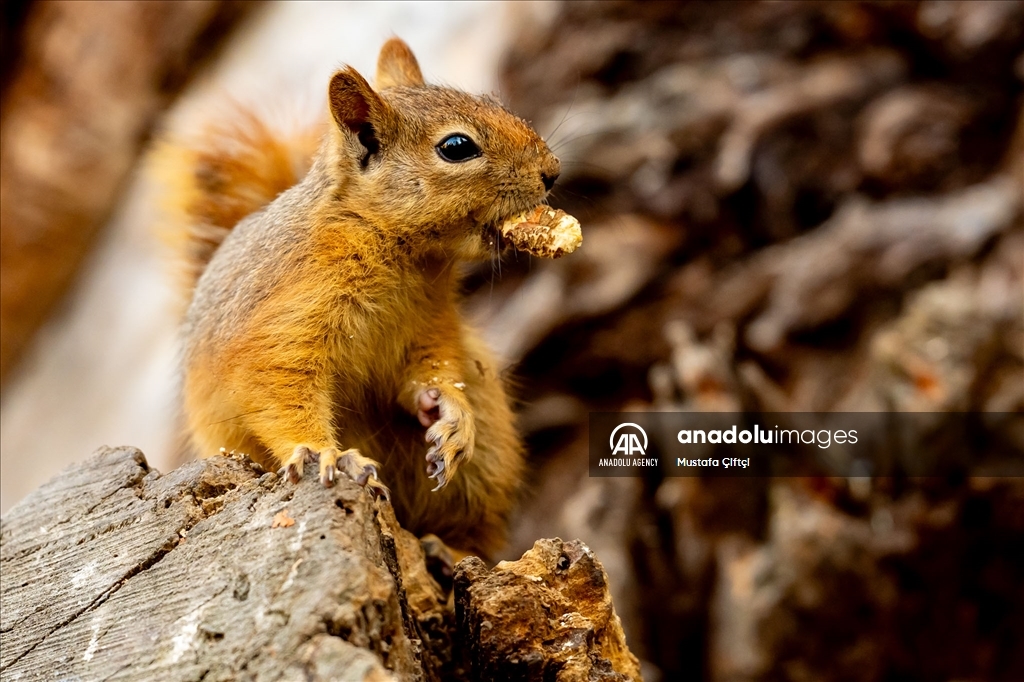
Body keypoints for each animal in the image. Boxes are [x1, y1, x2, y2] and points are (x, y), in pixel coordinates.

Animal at [152, 38, 569, 557]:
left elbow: (434, 368)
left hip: (487, 457)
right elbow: (277, 389)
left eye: (497, 102)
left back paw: (449, 549)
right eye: (456, 147)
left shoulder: (431, 324)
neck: (402, 254)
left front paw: (449, 411)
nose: (552, 172)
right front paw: (320, 452)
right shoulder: (280, 327)